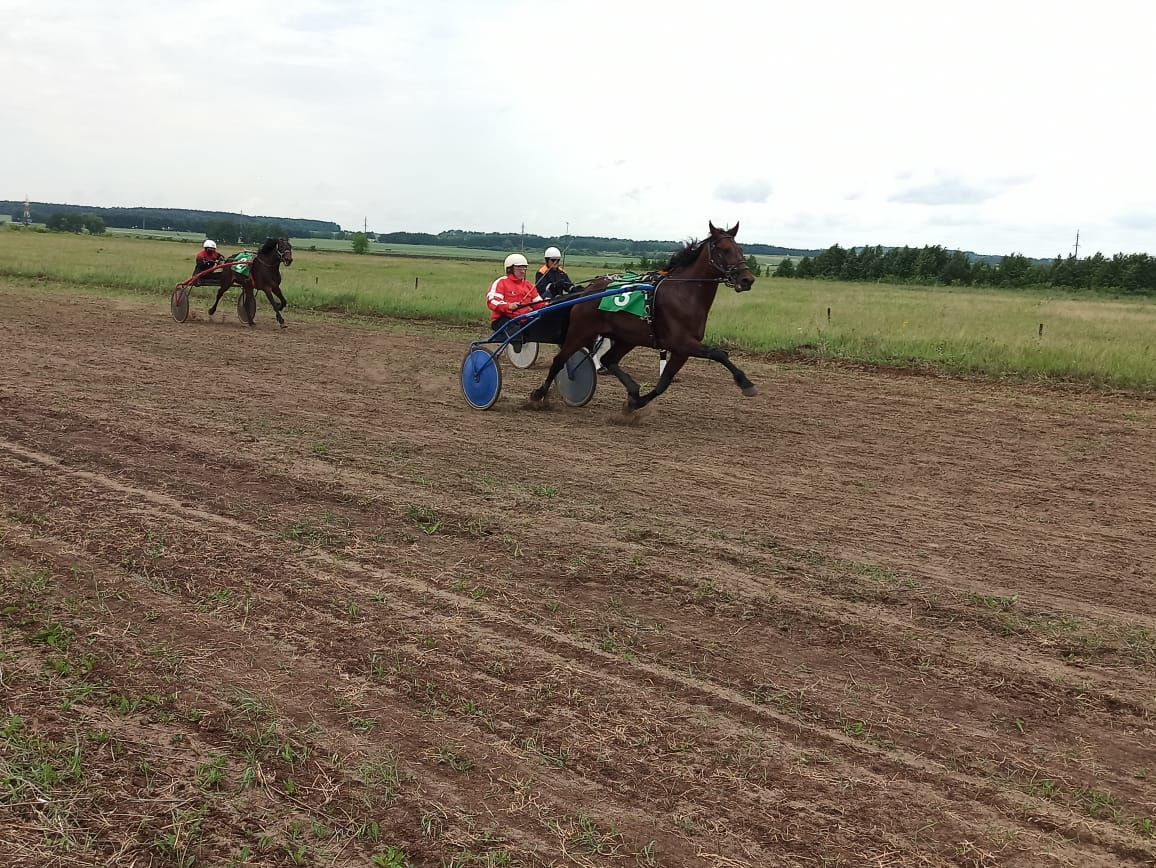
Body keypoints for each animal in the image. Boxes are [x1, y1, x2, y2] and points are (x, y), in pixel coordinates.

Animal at [527, 224, 758, 413]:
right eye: (723, 250)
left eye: (740, 249)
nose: (747, 279)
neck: (684, 294)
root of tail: (587, 291)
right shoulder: (682, 343)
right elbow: (719, 354)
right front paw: (746, 383)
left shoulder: (682, 350)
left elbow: (663, 383)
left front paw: (635, 403)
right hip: (581, 331)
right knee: (560, 361)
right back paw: (539, 395)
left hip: (626, 337)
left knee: (608, 359)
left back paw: (633, 389)